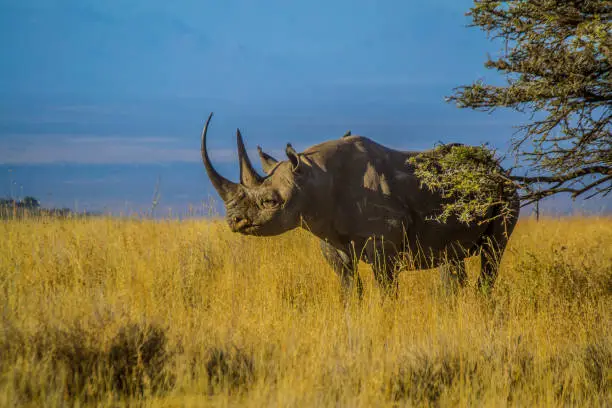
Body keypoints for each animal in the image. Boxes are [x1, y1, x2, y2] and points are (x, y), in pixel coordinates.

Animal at [198, 111, 520, 296]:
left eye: (270, 201)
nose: (234, 221)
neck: (314, 179)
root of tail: (499, 168)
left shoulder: (383, 243)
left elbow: (386, 289)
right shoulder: (331, 240)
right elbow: (350, 288)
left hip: (507, 192)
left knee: (493, 252)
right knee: (451, 258)